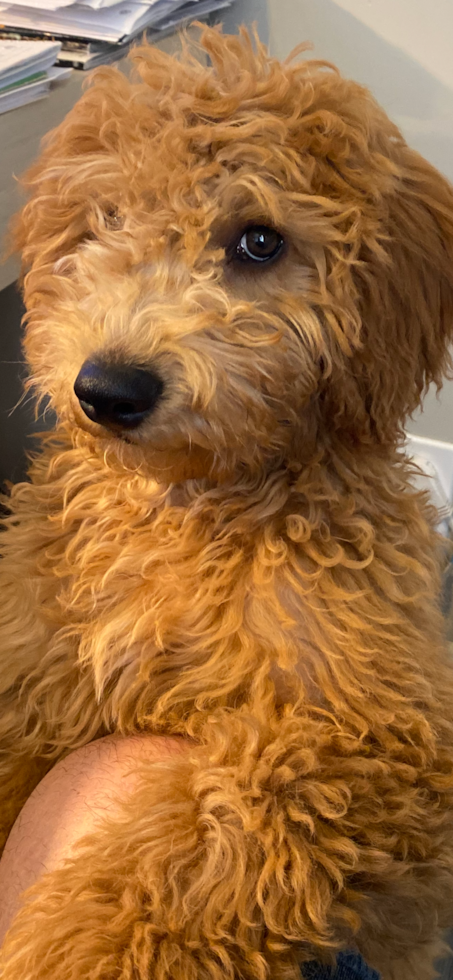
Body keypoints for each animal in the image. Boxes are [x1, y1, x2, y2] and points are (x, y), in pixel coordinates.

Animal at [0, 23, 452, 980]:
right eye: (104, 220)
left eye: (259, 242)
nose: (109, 389)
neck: (189, 507)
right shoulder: (31, 675)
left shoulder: (374, 737)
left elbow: (208, 845)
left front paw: (72, 949)